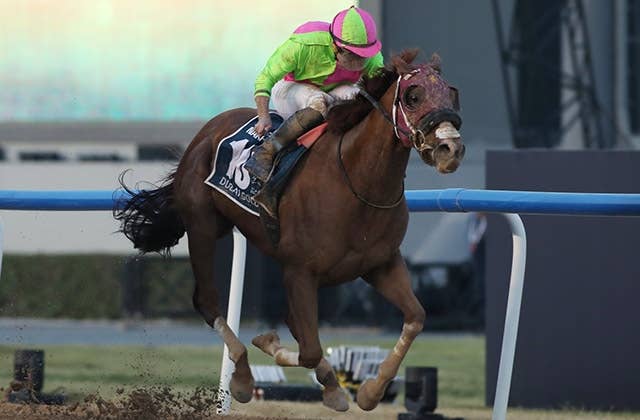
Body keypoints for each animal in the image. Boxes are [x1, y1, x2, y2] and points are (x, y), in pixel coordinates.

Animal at [115, 49, 465, 412]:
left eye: (452, 93)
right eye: (412, 96)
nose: (451, 149)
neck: (357, 181)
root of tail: (206, 130)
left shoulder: (380, 264)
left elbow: (415, 318)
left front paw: (369, 391)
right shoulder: (300, 271)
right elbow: (310, 349)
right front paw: (318, 378)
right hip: (202, 228)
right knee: (207, 301)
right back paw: (242, 378)